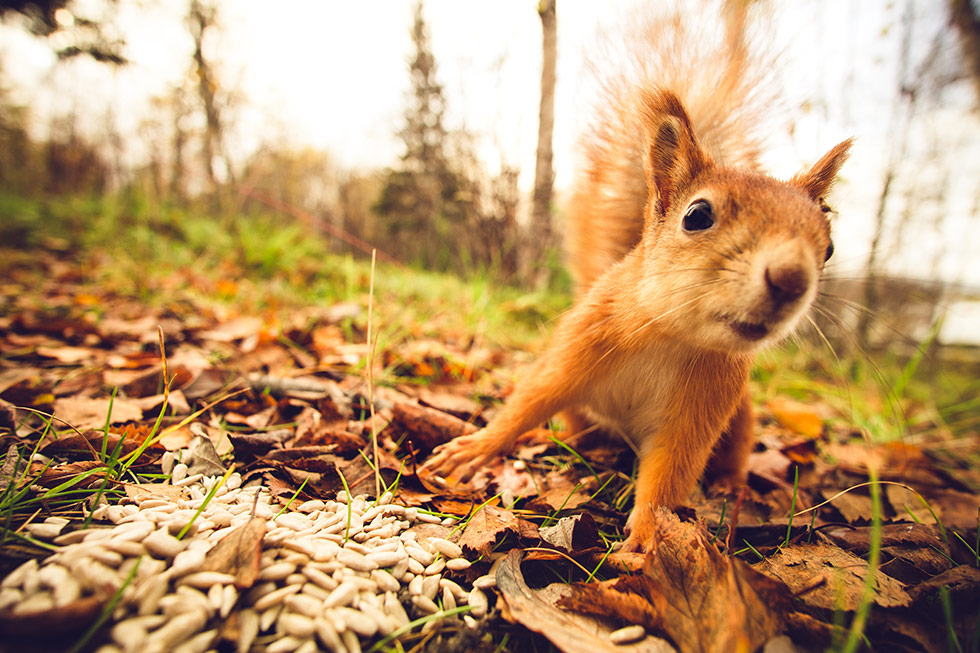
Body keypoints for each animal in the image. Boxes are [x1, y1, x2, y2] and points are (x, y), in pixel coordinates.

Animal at [420, 3, 848, 552]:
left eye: (829, 247)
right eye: (697, 216)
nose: (791, 279)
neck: (669, 336)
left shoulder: (703, 405)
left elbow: (669, 472)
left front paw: (649, 536)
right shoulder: (580, 344)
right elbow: (529, 400)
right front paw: (474, 448)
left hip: (741, 415)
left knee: (734, 450)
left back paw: (732, 484)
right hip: (584, 409)